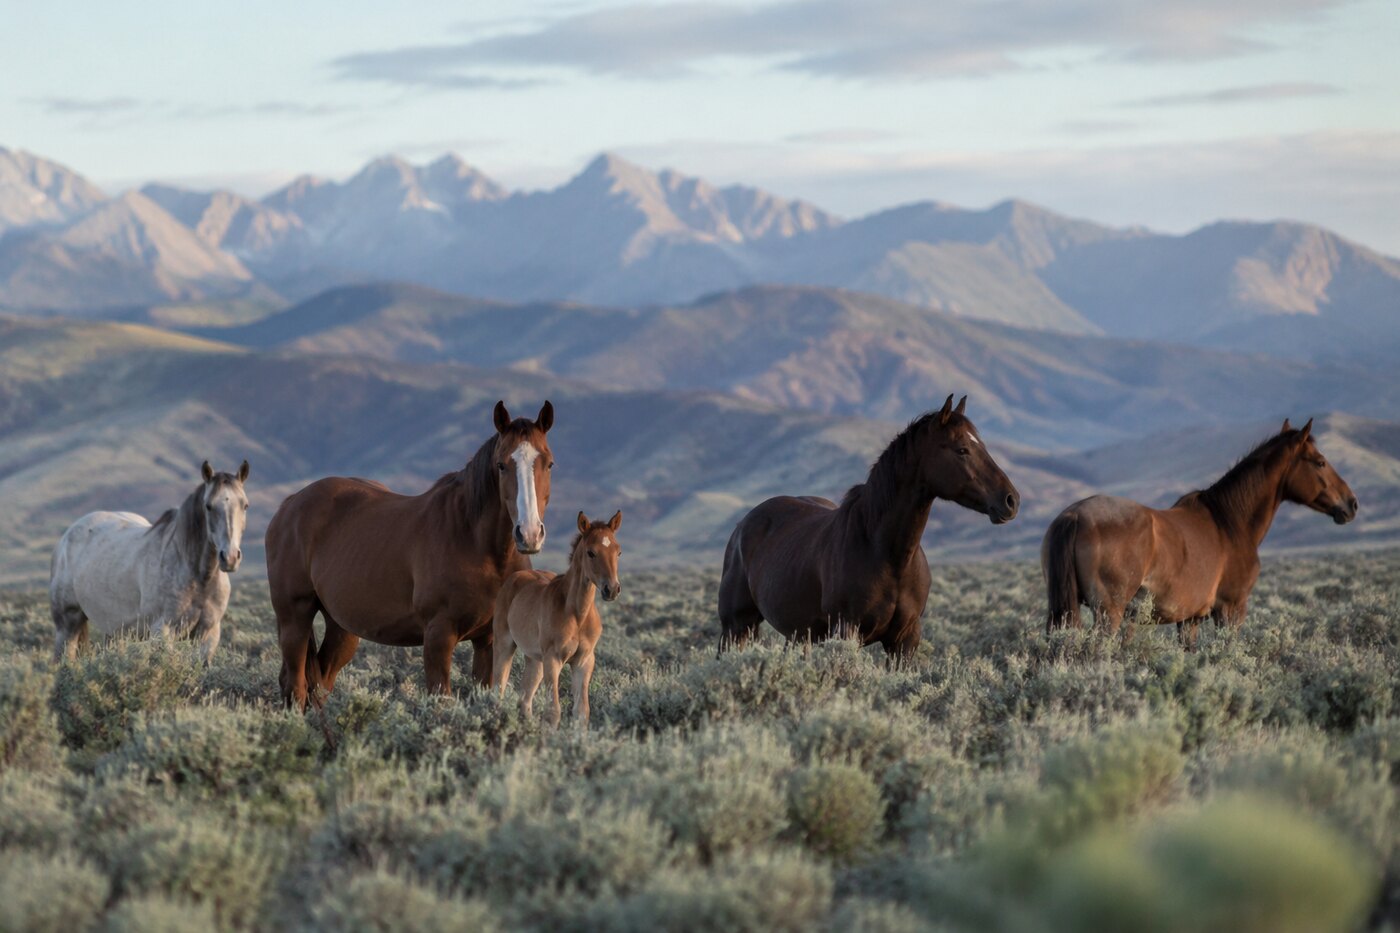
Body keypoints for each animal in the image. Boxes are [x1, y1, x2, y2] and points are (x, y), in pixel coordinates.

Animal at [49, 460, 250, 664]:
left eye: (245, 505)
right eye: (208, 506)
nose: (230, 557)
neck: (198, 576)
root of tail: (68, 534)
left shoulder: (208, 634)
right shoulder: (163, 630)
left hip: (114, 630)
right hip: (68, 625)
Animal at [265, 401, 554, 709]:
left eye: (549, 463)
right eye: (501, 465)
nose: (529, 534)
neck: (478, 545)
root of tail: (290, 503)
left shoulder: (488, 640)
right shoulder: (439, 636)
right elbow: (441, 700)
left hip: (341, 627)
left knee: (320, 685)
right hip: (295, 616)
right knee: (296, 686)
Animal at [490, 510, 622, 727]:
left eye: (618, 552)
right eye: (591, 552)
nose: (611, 590)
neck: (578, 615)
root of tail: (515, 577)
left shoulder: (584, 661)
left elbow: (581, 712)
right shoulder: (553, 659)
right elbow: (553, 711)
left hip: (535, 659)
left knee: (525, 699)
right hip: (505, 646)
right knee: (498, 689)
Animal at [718, 394, 1020, 658]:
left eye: (982, 446)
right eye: (962, 450)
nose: (1011, 500)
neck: (887, 554)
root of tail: (743, 525)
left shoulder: (905, 639)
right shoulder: (847, 631)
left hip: (799, 634)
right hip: (736, 627)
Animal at [1042, 418, 1358, 644]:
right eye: (1320, 462)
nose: (1351, 504)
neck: (1229, 522)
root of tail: (1074, 515)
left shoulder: (1189, 620)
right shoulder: (1231, 610)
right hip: (1109, 614)